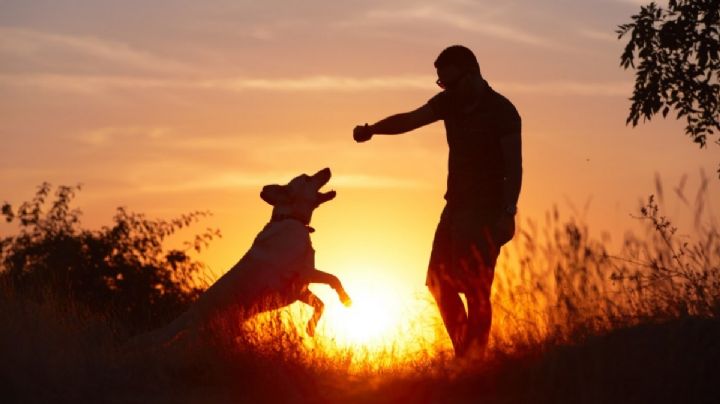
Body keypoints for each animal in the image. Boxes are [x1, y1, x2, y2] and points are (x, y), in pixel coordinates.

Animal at [132, 167, 354, 348]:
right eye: (307, 178)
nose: (328, 168)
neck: (291, 220)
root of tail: (190, 312)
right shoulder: (301, 276)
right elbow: (333, 278)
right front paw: (343, 301)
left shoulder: (300, 290)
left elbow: (323, 300)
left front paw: (315, 324)